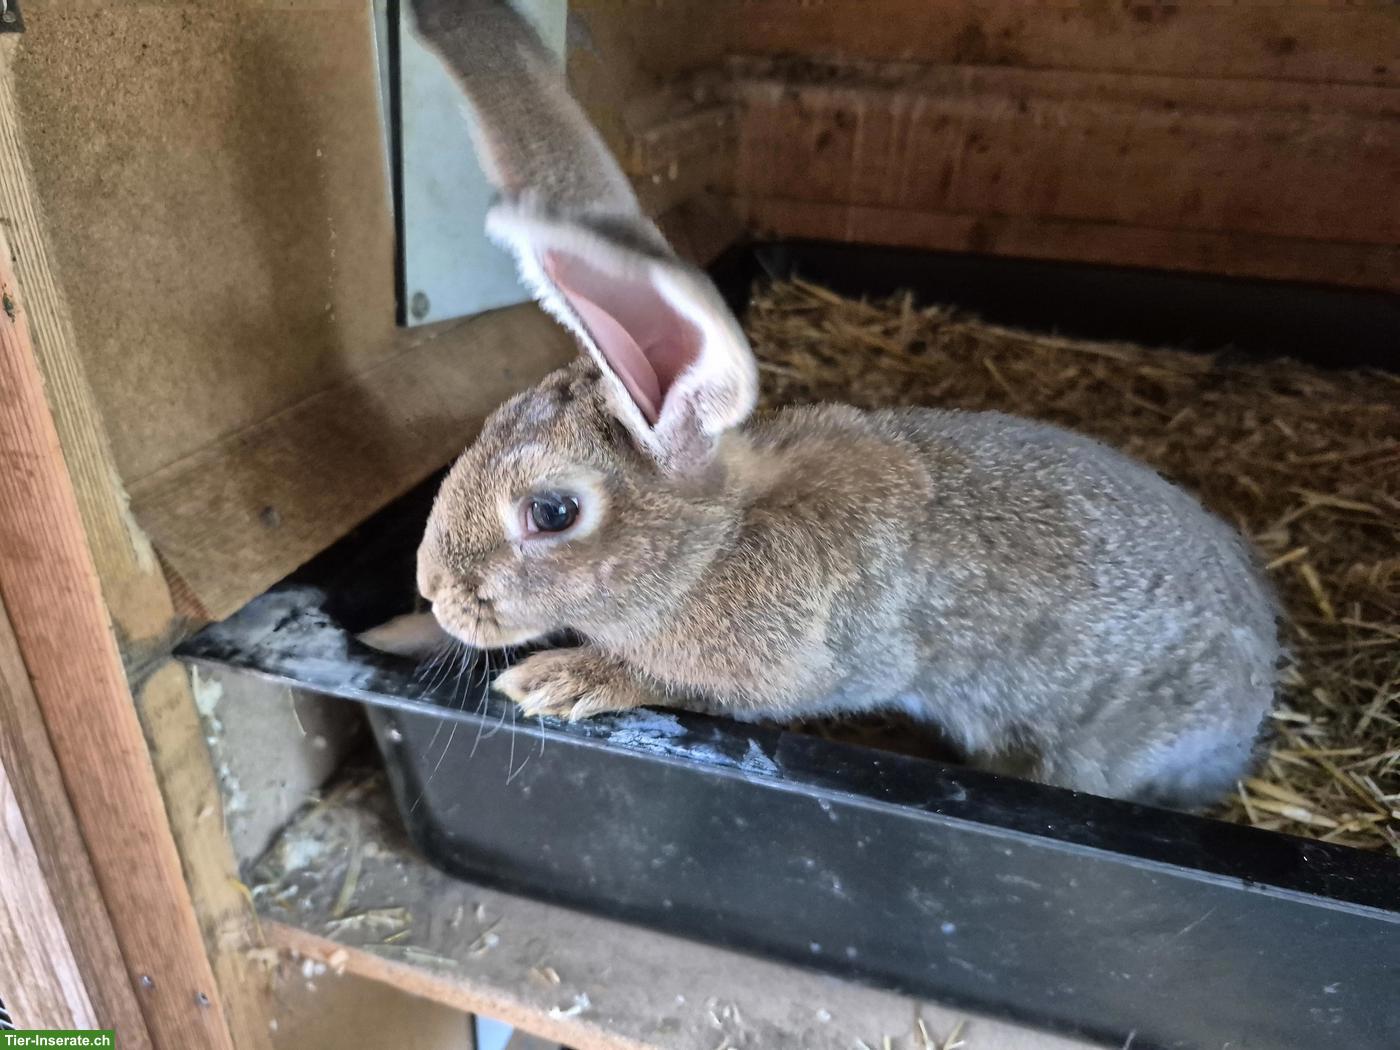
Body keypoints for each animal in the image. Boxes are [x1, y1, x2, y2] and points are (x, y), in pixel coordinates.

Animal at [406, 0, 1280, 808]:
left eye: (552, 513)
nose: (433, 590)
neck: (713, 548)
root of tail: (1256, 701)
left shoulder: (798, 669)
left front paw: (559, 680)